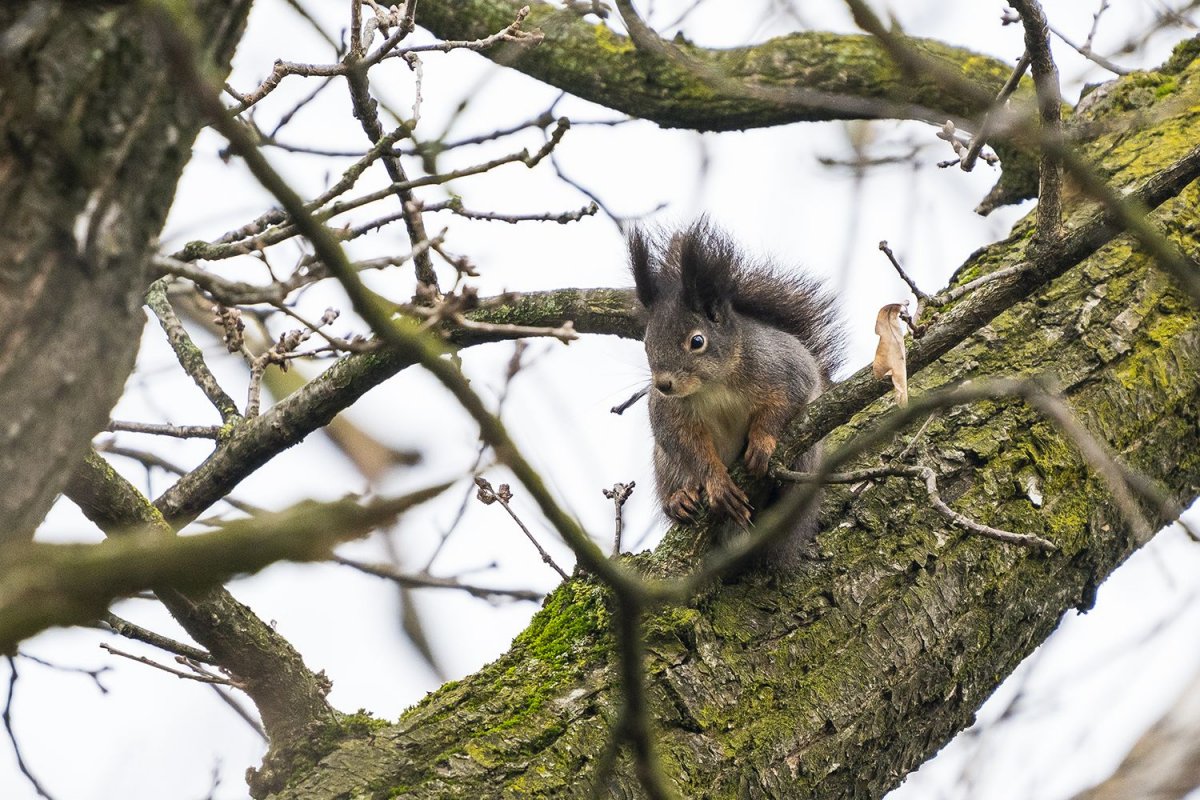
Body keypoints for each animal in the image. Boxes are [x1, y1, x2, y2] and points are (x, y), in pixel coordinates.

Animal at [628, 219, 844, 566]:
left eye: (697, 341)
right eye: (647, 343)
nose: (663, 385)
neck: (713, 385)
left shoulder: (784, 367)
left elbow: (788, 400)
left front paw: (762, 441)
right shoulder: (670, 412)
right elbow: (685, 443)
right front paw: (715, 482)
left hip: (807, 458)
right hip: (665, 464)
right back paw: (679, 499)